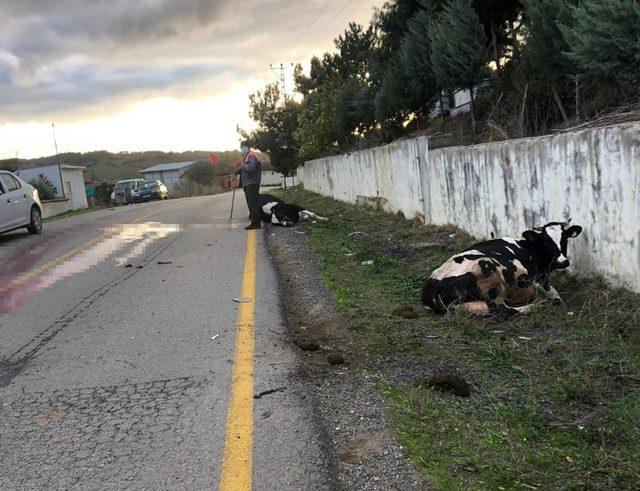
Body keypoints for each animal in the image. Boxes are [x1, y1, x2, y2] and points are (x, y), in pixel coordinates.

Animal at [422, 221, 584, 318]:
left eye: (564, 239)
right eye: (546, 241)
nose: (563, 262)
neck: (530, 248)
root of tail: (431, 289)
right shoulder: (539, 280)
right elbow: (556, 296)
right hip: (488, 270)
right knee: (503, 309)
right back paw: (538, 305)